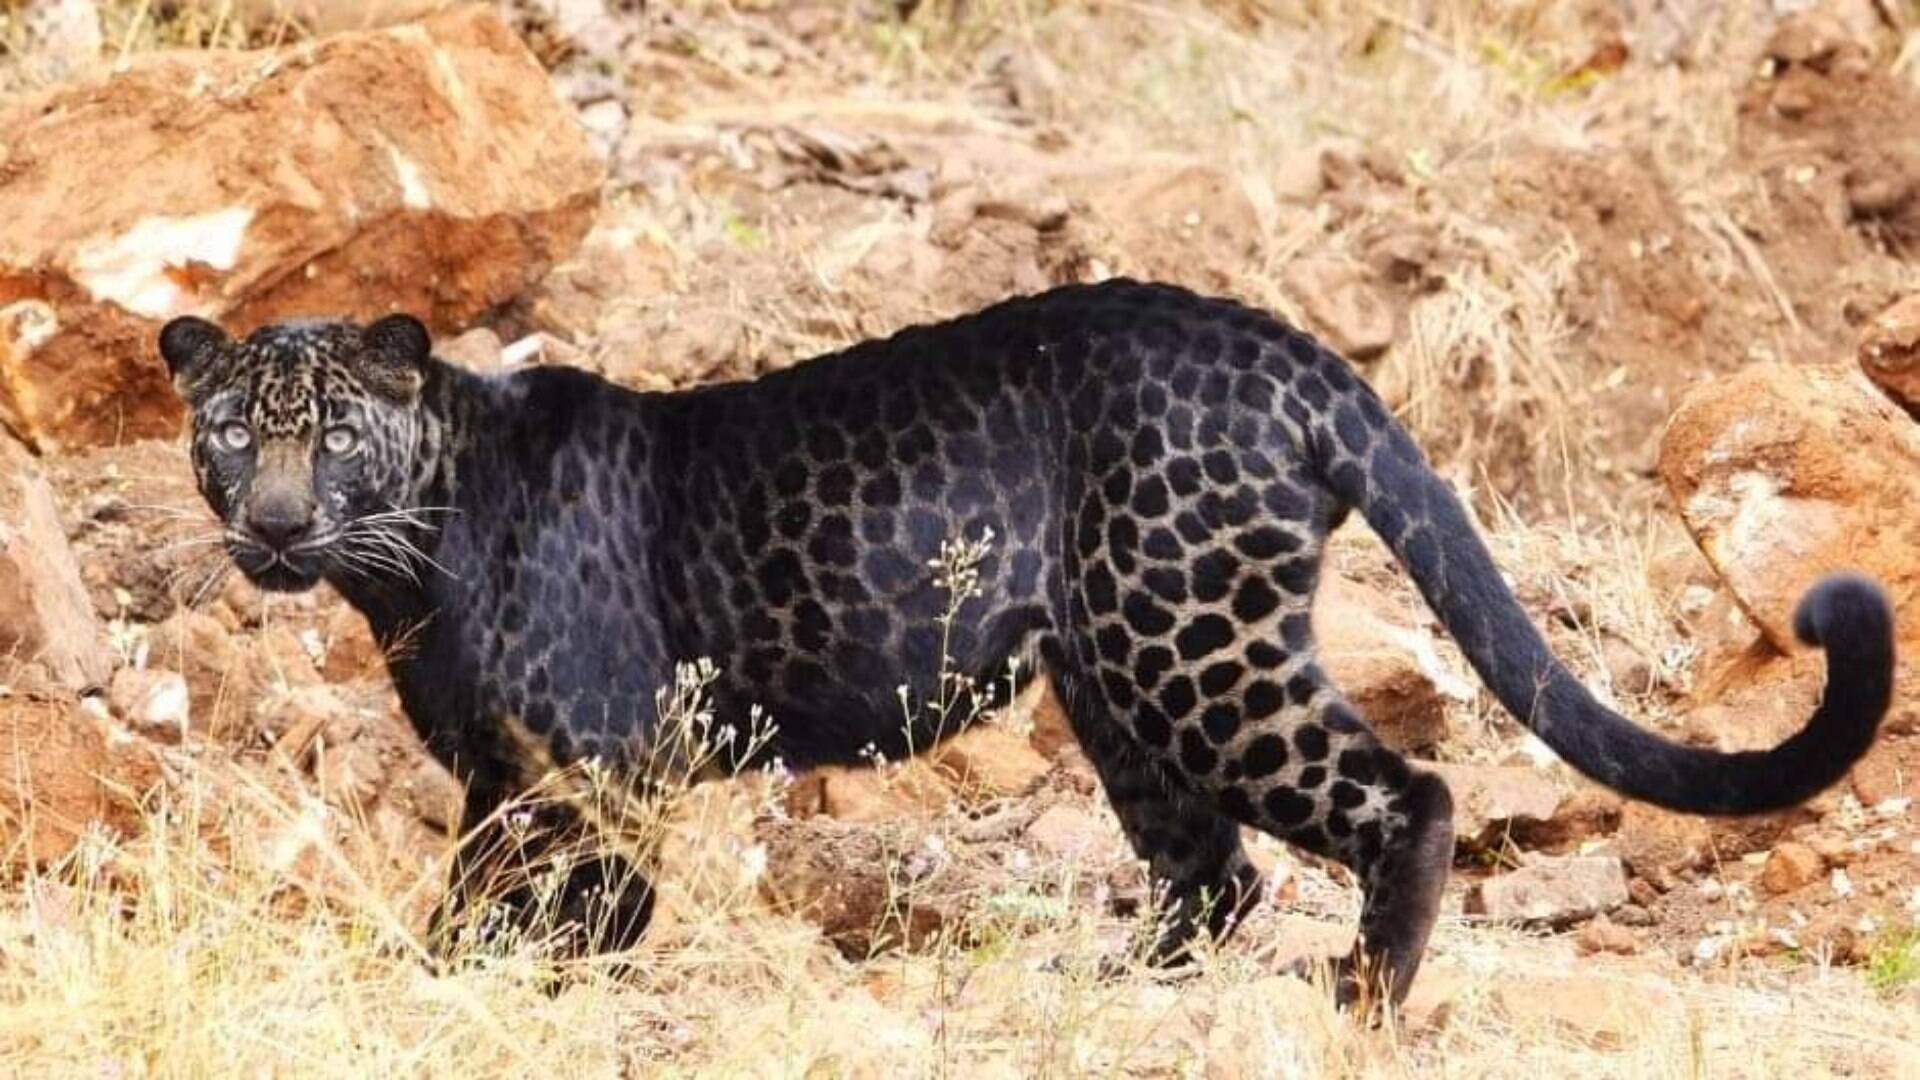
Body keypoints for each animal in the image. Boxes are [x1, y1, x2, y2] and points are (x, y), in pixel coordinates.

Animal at [159, 279, 1894, 1008]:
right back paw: (1115, 980)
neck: (414, 554)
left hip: (1189, 644)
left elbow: (562, 901)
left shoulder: (600, 755)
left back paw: (1366, 996)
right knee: (1215, 870)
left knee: (1404, 797)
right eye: (237, 433)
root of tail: (1282, 348)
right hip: (1117, 674)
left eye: (332, 435)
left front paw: (533, 983)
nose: (279, 524)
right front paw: (470, 972)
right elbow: (485, 889)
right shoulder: (506, 773)